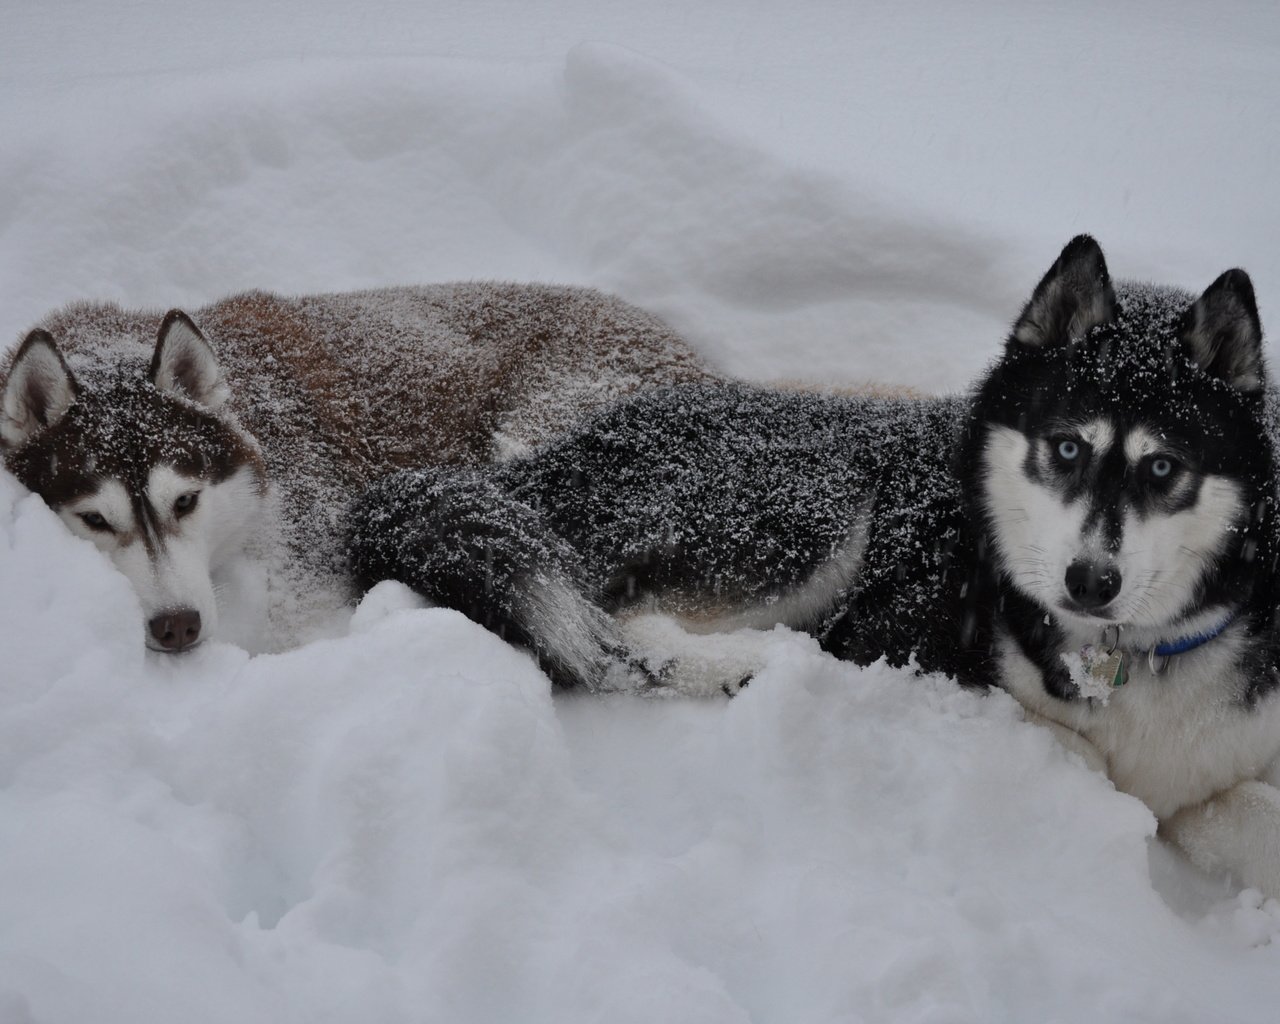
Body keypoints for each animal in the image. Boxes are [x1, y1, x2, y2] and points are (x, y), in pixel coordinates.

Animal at [350, 240, 1280, 896]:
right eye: (1067, 448)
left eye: (1163, 467)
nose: (1090, 582)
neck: (1134, 655)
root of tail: (544, 460)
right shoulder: (942, 662)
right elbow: (1103, 775)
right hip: (812, 507)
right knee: (618, 629)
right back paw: (745, 665)